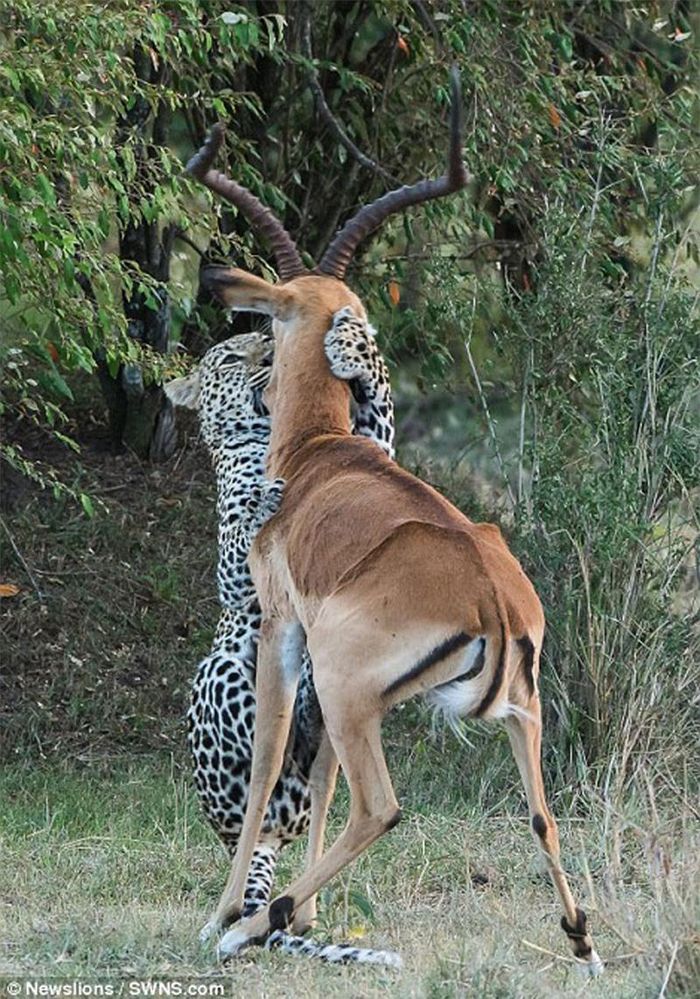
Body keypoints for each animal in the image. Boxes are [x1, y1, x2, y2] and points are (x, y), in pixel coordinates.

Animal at [186, 69, 603, 976]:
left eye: (272, 319)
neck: (319, 450)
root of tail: (496, 601)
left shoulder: (281, 627)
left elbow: (271, 760)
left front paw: (224, 911)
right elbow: (317, 778)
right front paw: (298, 912)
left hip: (351, 689)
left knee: (381, 806)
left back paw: (251, 924)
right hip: (516, 714)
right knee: (541, 814)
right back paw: (583, 941)